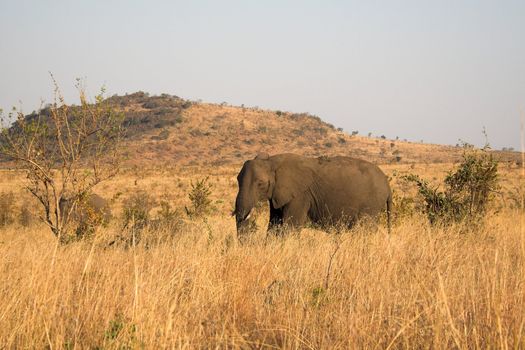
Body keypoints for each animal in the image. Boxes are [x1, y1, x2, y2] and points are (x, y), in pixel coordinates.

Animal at [232, 153, 388, 235]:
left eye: (260, 184)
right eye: (238, 180)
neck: (271, 161)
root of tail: (387, 184)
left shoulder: (300, 196)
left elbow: (290, 228)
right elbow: (274, 225)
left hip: (371, 204)